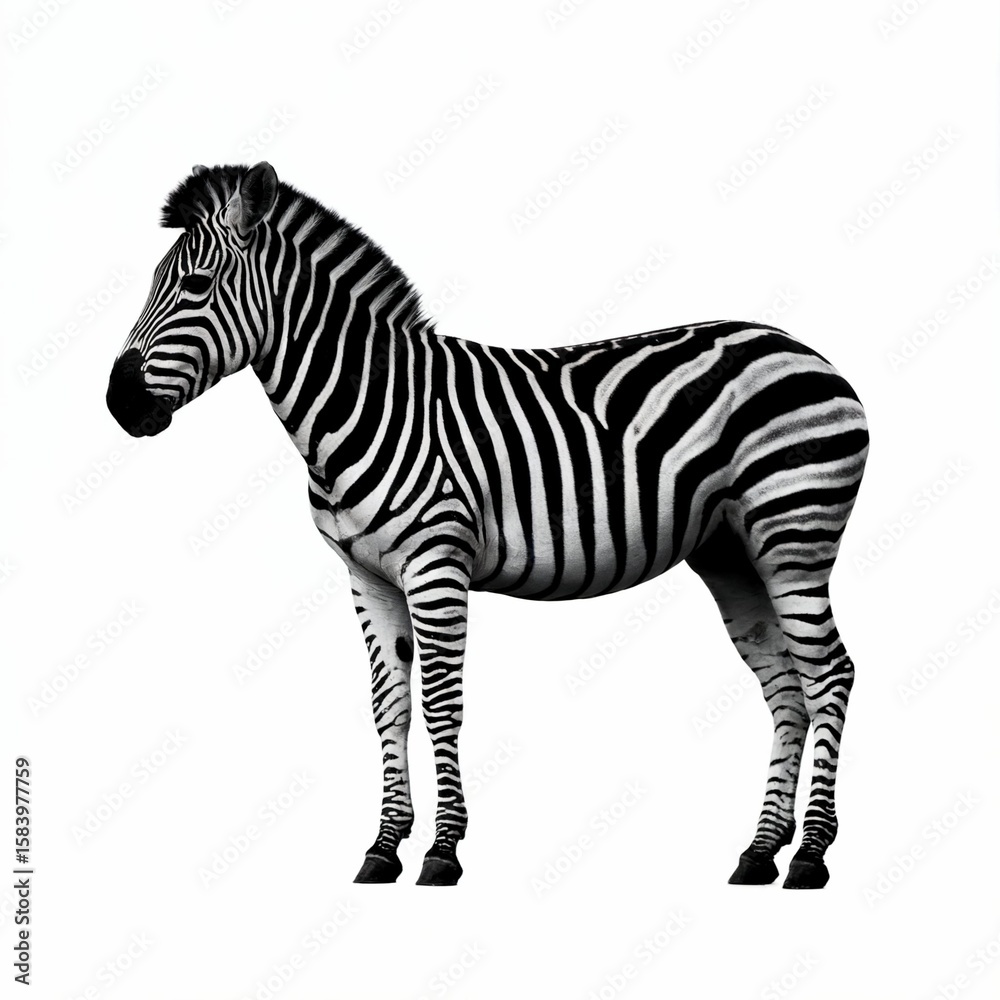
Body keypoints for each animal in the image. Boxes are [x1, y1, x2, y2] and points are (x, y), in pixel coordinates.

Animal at [107, 161, 868, 889]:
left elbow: (442, 702)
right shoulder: (366, 576)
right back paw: (761, 852)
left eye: (197, 285)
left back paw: (810, 857)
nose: (118, 403)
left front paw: (442, 851)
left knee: (829, 673)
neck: (365, 400)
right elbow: (390, 706)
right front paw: (383, 847)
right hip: (734, 554)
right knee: (787, 687)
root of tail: (801, 347)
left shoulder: (436, 562)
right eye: (152, 284)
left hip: (793, 535)